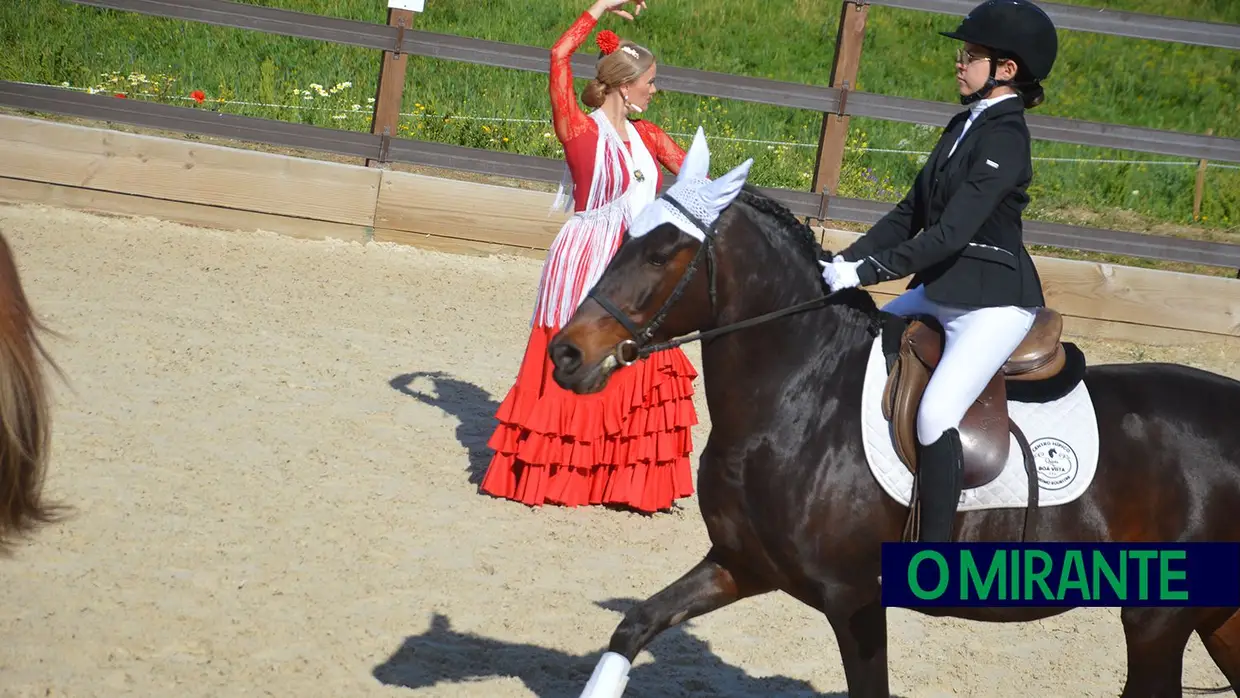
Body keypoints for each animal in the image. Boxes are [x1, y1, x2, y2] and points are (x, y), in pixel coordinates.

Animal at [548, 133, 1240, 694]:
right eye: (627, 239)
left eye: (661, 254)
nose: (565, 354)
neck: (799, 398)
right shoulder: (740, 565)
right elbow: (635, 624)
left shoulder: (854, 603)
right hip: (1215, 621)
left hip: (1156, 620)